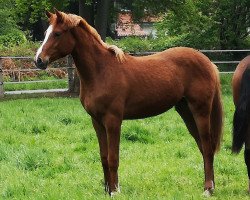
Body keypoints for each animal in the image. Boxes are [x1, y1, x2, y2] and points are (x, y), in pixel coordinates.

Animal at [34, 9, 224, 197]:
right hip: (185, 111)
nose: (39, 60)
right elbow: (104, 157)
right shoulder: (97, 122)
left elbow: (113, 158)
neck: (101, 71)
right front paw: (107, 190)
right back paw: (211, 186)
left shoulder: (113, 121)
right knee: (203, 147)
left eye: (57, 34)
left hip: (200, 111)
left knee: (207, 147)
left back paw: (208, 189)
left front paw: (115, 191)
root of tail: (207, 62)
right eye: (46, 33)